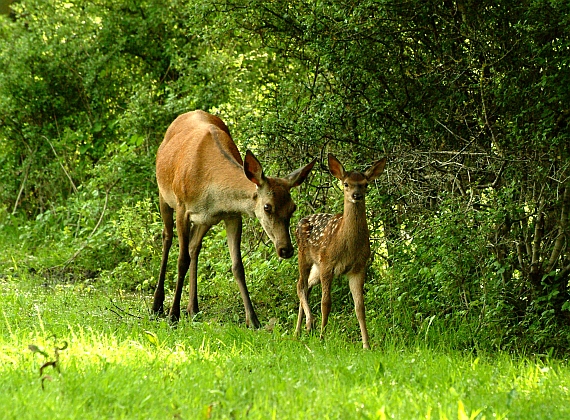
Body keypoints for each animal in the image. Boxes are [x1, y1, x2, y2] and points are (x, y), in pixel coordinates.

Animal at [152, 110, 316, 326]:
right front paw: (173, 315)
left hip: (205, 220)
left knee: (194, 246)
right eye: (267, 207)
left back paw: (193, 308)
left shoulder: (232, 215)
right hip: (164, 194)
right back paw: (158, 305)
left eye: (292, 208)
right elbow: (181, 260)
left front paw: (253, 320)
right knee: (167, 237)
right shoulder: (182, 207)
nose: (286, 249)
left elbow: (238, 266)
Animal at [292, 153, 386, 348]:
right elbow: (326, 303)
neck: (347, 245)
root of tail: (299, 221)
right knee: (300, 285)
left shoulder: (359, 267)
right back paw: (306, 325)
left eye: (365, 184)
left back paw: (299, 331)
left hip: (316, 267)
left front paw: (366, 345)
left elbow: (360, 307)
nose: (356, 195)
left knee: (306, 286)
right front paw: (322, 338)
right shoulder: (327, 264)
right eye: (346, 184)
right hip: (304, 255)